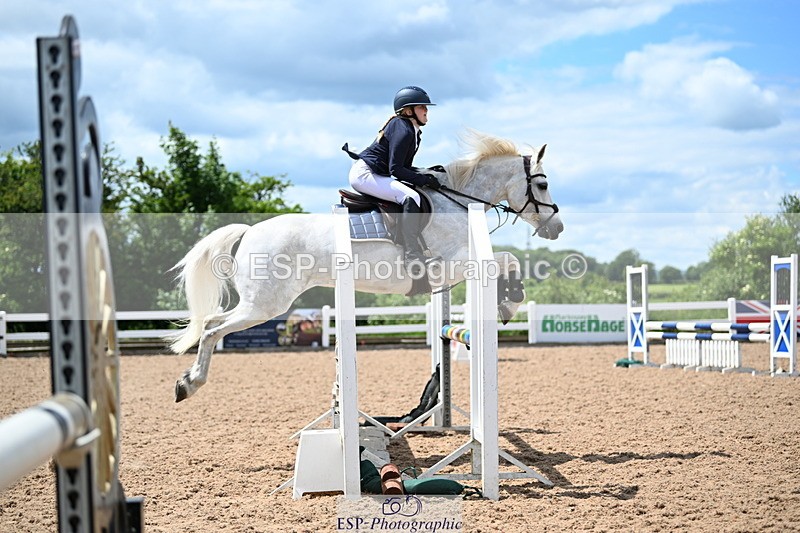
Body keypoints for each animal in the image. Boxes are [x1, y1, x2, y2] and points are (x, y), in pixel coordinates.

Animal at [170, 130, 564, 402]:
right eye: (543, 184)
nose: (556, 228)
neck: (455, 202)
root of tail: (249, 231)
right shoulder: (451, 264)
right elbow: (506, 259)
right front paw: (510, 300)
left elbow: (505, 261)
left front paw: (507, 301)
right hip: (265, 305)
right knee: (211, 330)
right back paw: (189, 383)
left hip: (257, 303)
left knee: (211, 322)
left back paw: (187, 382)